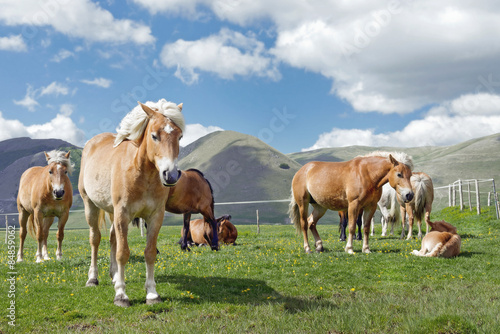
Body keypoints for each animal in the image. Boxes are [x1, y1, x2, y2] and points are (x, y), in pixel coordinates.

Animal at [79, 99, 185, 308]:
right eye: (154, 135)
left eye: (180, 136)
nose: (170, 175)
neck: (142, 173)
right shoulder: (123, 214)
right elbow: (123, 253)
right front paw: (121, 295)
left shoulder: (155, 217)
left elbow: (150, 252)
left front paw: (152, 293)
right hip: (91, 206)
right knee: (95, 239)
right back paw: (93, 278)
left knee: (112, 238)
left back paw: (114, 276)